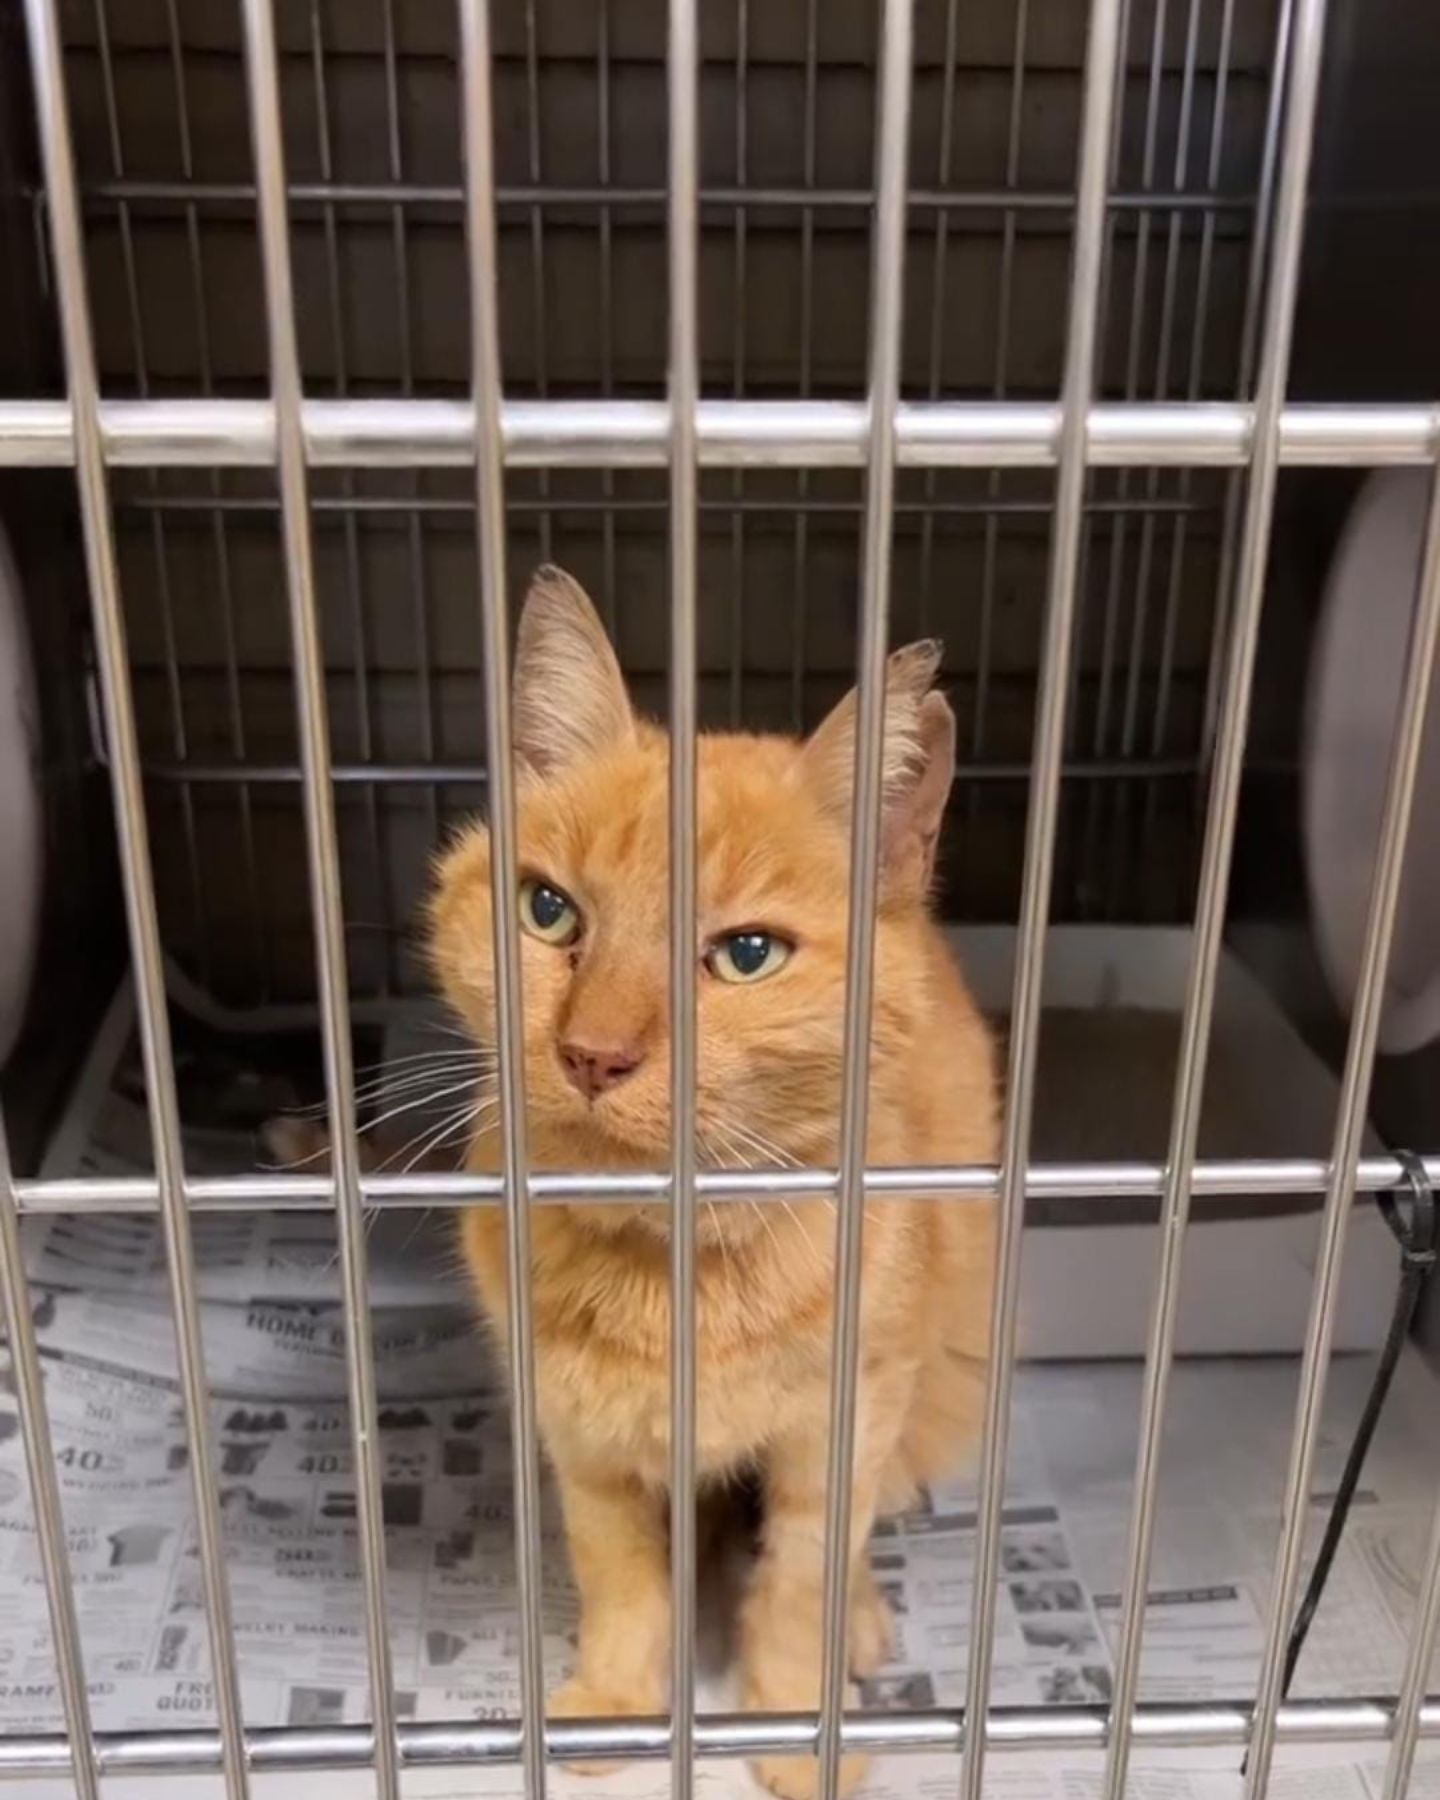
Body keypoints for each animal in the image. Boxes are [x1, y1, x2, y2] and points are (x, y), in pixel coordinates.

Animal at [428, 568, 993, 1792]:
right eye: (548, 910)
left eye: (745, 955)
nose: (593, 1055)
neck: (672, 1257)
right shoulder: (581, 1442)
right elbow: (621, 1575)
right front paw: (617, 1706)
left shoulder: (842, 1427)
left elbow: (800, 1579)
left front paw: (795, 1729)